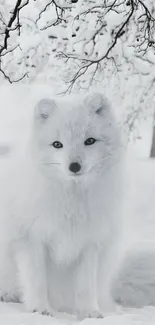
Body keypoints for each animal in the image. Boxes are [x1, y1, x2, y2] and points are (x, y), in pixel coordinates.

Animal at [0, 92, 124, 318]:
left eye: (89, 141)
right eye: (57, 144)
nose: (74, 166)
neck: (71, 202)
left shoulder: (90, 244)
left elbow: (86, 285)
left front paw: (89, 313)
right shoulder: (31, 239)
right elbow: (36, 280)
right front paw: (39, 309)